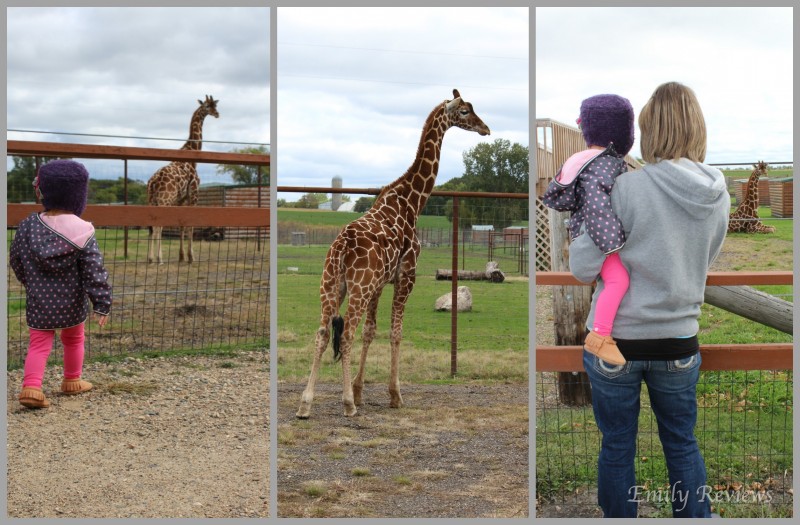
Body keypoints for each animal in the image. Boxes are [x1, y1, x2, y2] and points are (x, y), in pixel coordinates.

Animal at [147, 94, 220, 262]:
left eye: (215, 105)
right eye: (207, 106)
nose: (217, 113)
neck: (193, 157)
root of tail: (153, 182)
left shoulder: (181, 198)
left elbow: (181, 224)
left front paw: (182, 256)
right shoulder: (194, 193)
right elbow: (190, 224)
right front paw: (191, 256)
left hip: (152, 200)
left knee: (152, 226)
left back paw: (151, 258)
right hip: (164, 200)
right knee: (158, 226)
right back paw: (159, 258)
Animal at [296, 89, 490, 418]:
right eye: (464, 111)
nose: (485, 128)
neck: (412, 202)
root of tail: (341, 247)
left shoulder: (378, 284)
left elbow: (371, 331)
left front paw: (360, 390)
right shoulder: (406, 276)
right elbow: (395, 332)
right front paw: (394, 395)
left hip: (332, 284)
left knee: (322, 333)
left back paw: (306, 403)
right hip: (357, 288)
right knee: (344, 334)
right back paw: (346, 404)